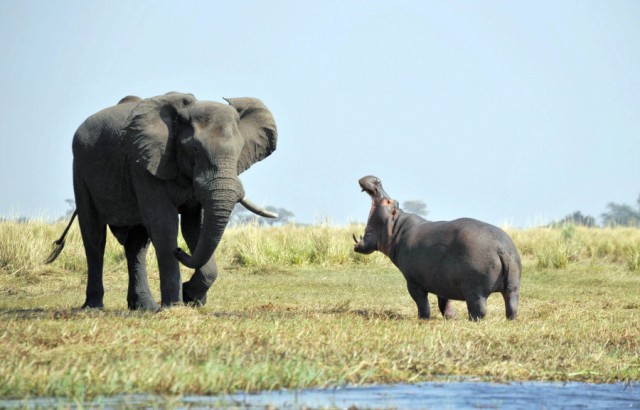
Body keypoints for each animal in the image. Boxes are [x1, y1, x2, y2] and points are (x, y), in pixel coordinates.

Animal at [48, 92, 278, 310]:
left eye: (239, 150)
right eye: (194, 149)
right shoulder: (144, 163)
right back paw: (93, 307)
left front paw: (190, 297)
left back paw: (144, 307)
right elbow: (164, 224)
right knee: (94, 235)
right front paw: (175, 305)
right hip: (80, 170)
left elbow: (194, 228)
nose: (179, 251)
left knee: (136, 244)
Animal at [356, 176, 520, 320]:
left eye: (388, 201)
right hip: (513, 286)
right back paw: (510, 320)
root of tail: (502, 249)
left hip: (475, 291)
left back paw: (473, 320)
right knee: (511, 305)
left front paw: (423, 319)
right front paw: (452, 317)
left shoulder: (413, 281)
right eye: (395, 201)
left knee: (479, 310)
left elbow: (422, 302)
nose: (377, 180)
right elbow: (444, 302)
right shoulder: (442, 282)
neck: (397, 228)